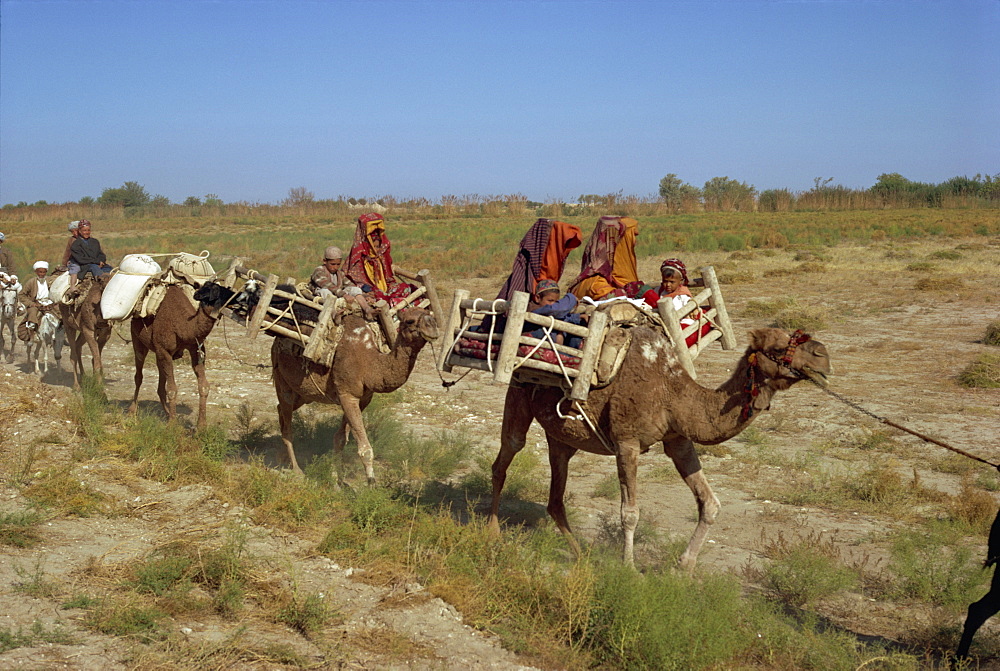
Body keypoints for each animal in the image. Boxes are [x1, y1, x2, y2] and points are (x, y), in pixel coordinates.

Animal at [125, 282, 232, 430]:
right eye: (214, 291)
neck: (184, 326)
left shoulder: (195, 349)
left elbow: (204, 386)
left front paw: (201, 427)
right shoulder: (164, 350)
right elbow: (172, 389)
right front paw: (172, 425)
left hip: (158, 352)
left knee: (160, 383)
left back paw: (167, 413)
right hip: (137, 339)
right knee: (139, 375)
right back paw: (132, 411)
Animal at [270, 308, 438, 486]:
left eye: (432, 317)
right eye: (410, 321)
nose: (433, 329)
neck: (369, 364)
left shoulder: (363, 399)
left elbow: (340, 438)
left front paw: (336, 481)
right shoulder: (347, 395)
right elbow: (365, 448)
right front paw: (371, 484)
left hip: (304, 394)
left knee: (281, 410)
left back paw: (281, 458)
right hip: (282, 380)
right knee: (287, 424)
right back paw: (296, 470)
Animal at [488, 328, 832, 568]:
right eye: (778, 348)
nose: (823, 355)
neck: (673, 392)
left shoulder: (678, 440)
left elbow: (710, 503)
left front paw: (684, 568)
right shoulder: (626, 441)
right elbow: (629, 513)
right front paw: (629, 569)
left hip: (562, 437)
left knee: (555, 497)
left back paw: (580, 554)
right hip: (517, 394)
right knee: (505, 459)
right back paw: (492, 532)